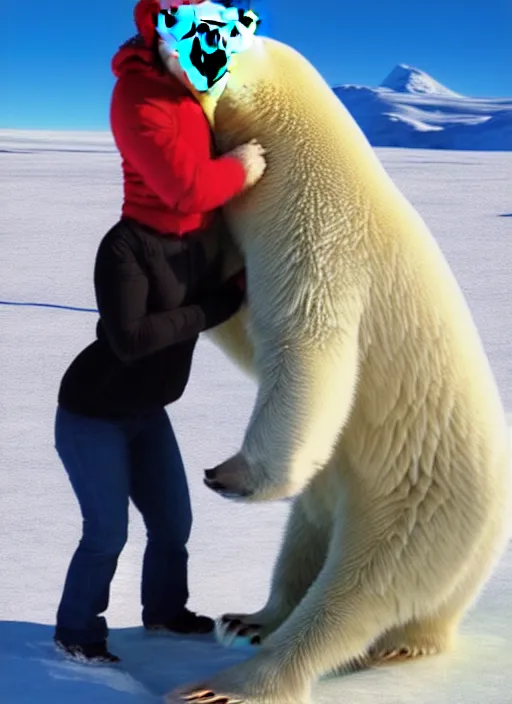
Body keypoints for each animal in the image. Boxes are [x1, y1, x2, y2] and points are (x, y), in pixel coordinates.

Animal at [169, 35, 512, 704]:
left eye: (213, 32)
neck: (307, 155)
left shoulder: (322, 234)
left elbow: (308, 348)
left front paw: (234, 476)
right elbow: (233, 315)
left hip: (418, 500)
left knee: (362, 591)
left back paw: (239, 682)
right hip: (342, 492)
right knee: (304, 546)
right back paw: (251, 620)